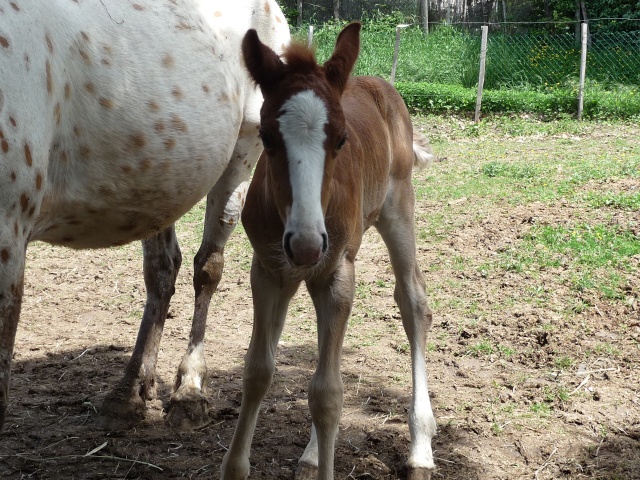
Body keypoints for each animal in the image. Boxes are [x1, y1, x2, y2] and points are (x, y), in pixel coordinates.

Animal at [0, 0, 290, 430]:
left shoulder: (8, 231)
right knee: (162, 271)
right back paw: (130, 391)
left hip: (244, 152)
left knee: (208, 269)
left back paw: (190, 390)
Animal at [222, 22, 438, 480]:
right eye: (266, 137)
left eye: (341, 139)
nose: (306, 245)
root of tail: (379, 84)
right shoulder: (268, 272)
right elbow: (258, 370)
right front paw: (236, 465)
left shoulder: (337, 271)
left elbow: (328, 395)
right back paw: (311, 452)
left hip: (397, 210)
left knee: (413, 301)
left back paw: (421, 447)